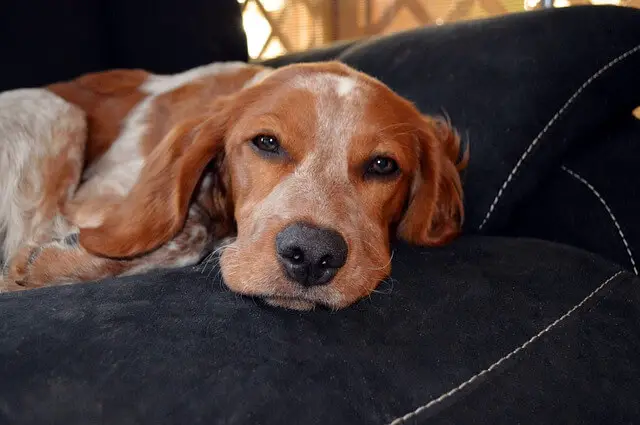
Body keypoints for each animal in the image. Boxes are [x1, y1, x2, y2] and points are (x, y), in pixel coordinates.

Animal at [1, 60, 470, 308]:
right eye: (266, 142)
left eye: (382, 165)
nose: (311, 255)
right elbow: (183, 231)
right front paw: (52, 262)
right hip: (55, 110)